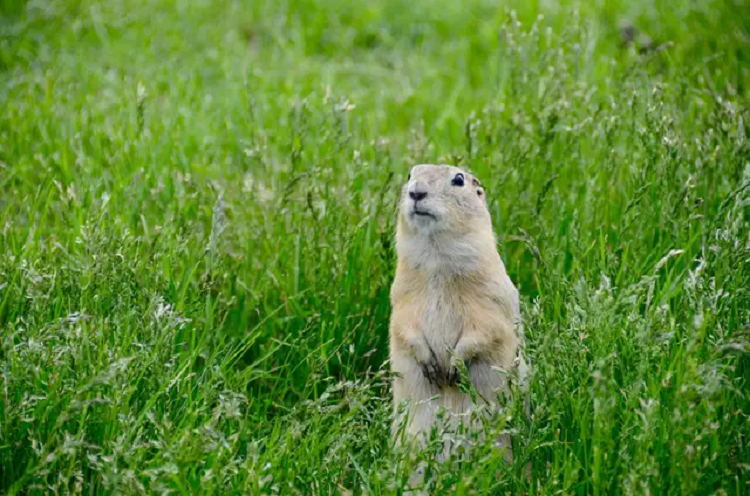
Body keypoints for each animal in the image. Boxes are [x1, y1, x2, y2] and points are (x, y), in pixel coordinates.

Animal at [390, 165, 532, 464]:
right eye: (409, 175)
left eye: (458, 180)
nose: (416, 192)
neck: (435, 259)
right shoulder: (400, 296)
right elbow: (403, 326)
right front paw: (431, 365)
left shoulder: (490, 297)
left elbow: (486, 329)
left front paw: (453, 366)